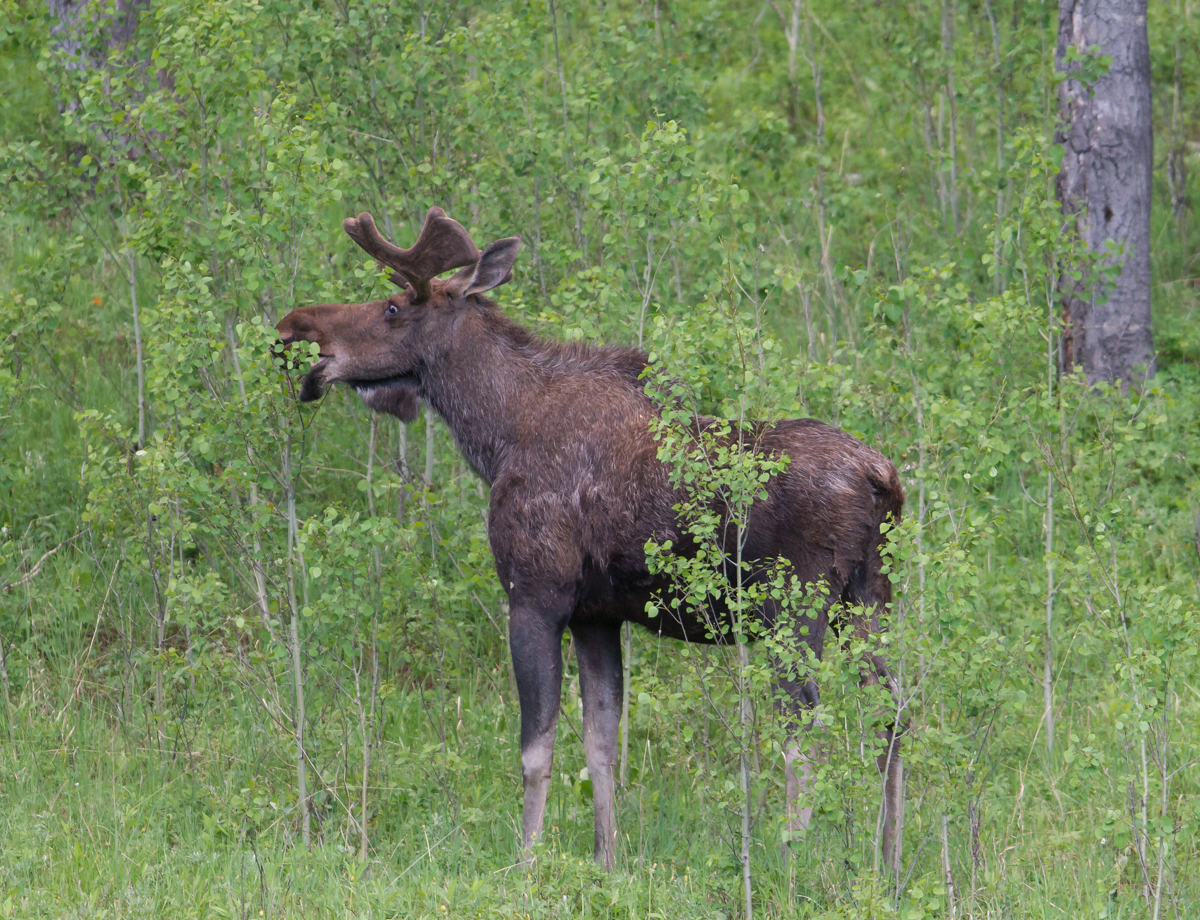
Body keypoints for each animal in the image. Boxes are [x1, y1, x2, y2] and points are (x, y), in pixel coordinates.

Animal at [276, 207, 906, 874]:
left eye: (393, 306)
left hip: (797, 608)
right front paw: (607, 859)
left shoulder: (536, 594)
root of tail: (881, 479)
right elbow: (600, 744)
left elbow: (536, 749)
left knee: (806, 727)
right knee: (894, 714)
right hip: (868, 600)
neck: (497, 434)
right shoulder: (596, 615)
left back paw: (792, 859)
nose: (294, 328)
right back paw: (889, 862)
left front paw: (525, 861)